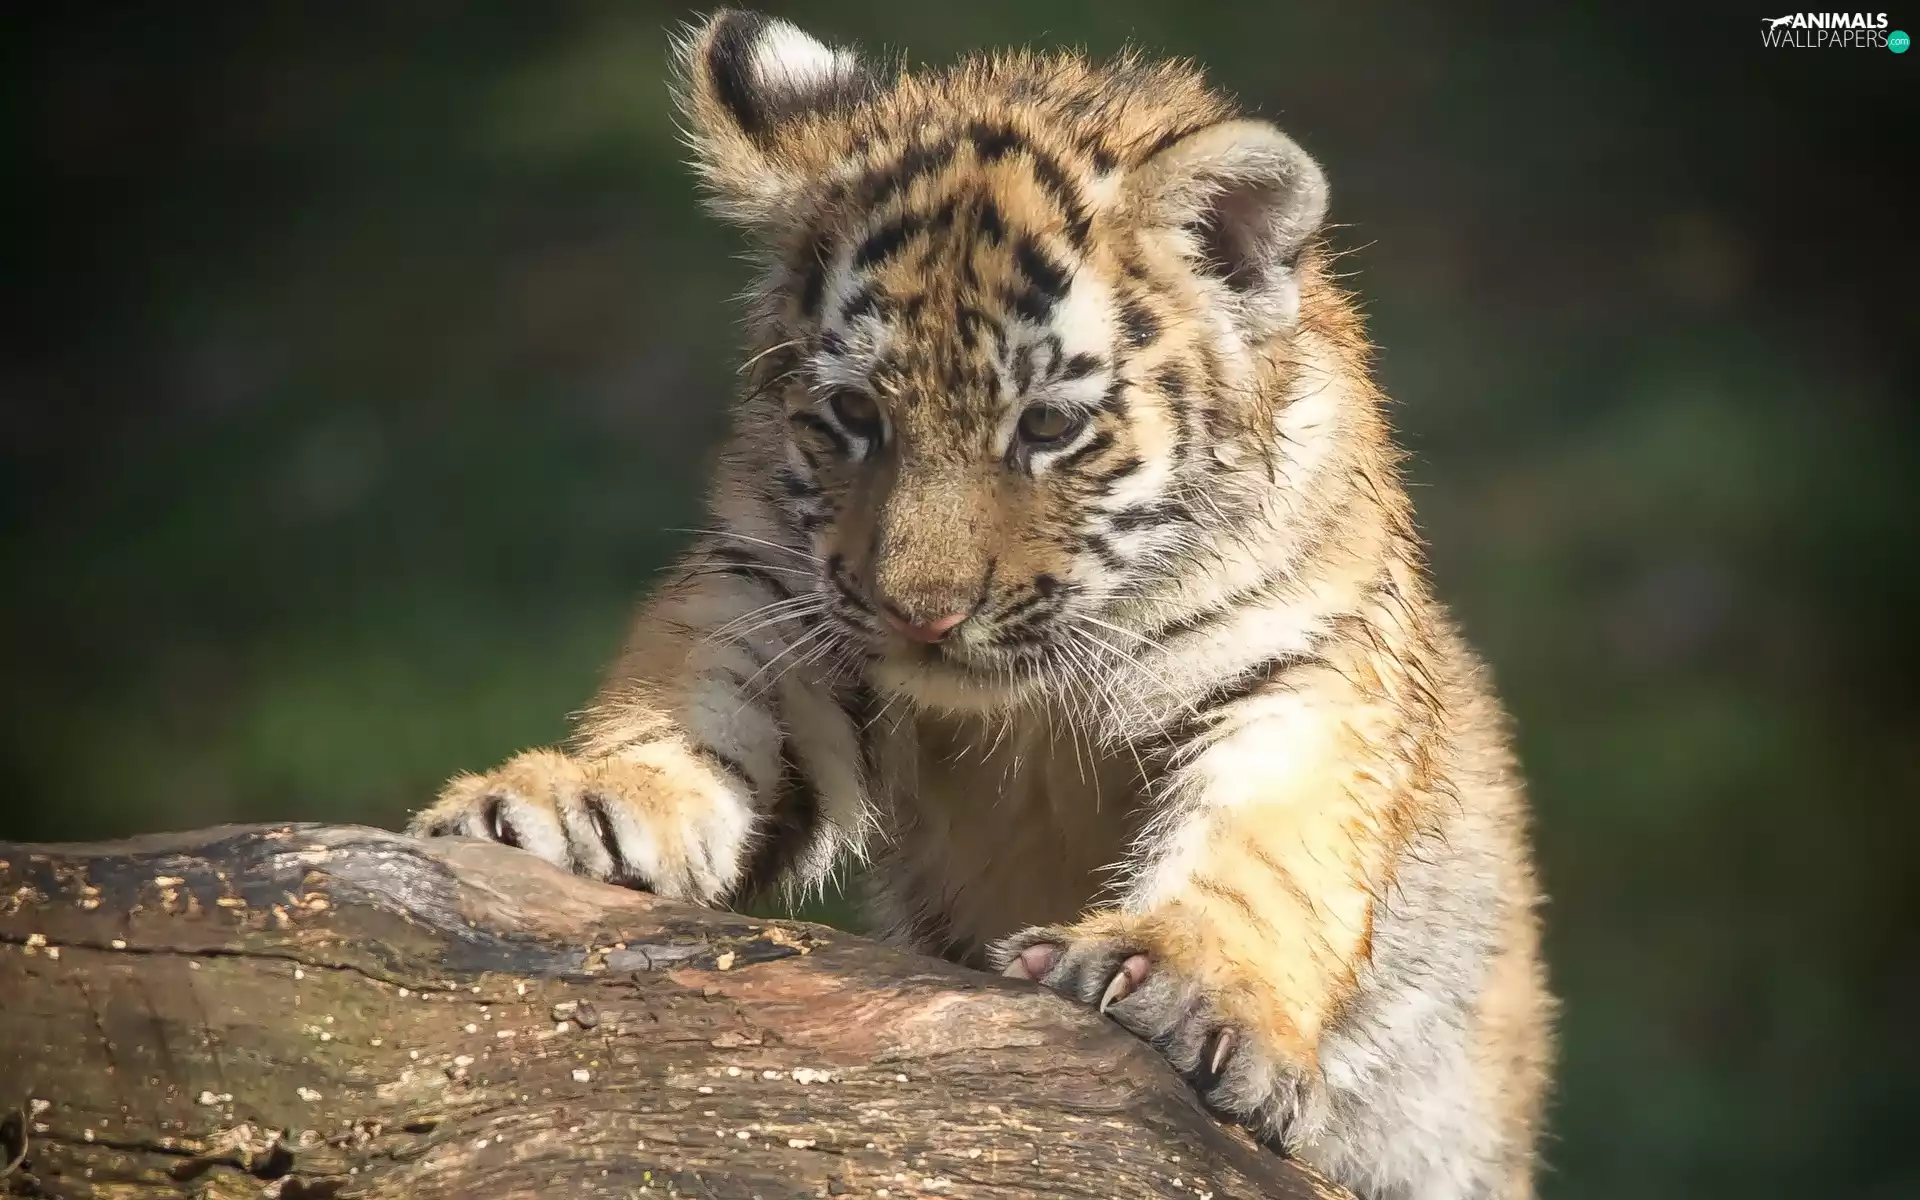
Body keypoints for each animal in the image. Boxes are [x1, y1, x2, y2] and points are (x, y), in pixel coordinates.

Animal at [409, 10, 1554, 1197]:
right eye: (854, 414)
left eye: (1047, 426)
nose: (922, 613)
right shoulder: (777, 595)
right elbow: (691, 715)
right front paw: (573, 807)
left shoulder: (1305, 659)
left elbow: (1268, 841)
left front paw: (1180, 983)